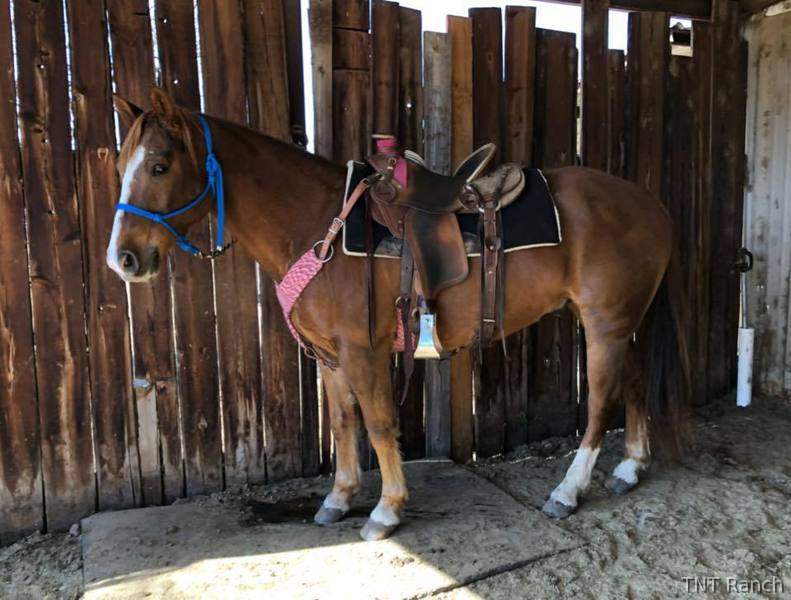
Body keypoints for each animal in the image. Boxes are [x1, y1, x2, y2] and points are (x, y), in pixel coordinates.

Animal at [107, 88, 689, 541]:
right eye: (120, 168)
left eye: (159, 165)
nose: (123, 260)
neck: (319, 224)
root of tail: (653, 206)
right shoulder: (330, 356)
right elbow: (343, 422)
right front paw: (339, 498)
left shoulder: (362, 350)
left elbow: (380, 423)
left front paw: (386, 510)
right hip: (619, 324)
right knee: (635, 385)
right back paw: (630, 467)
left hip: (605, 325)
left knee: (600, 403)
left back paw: (569, 490)